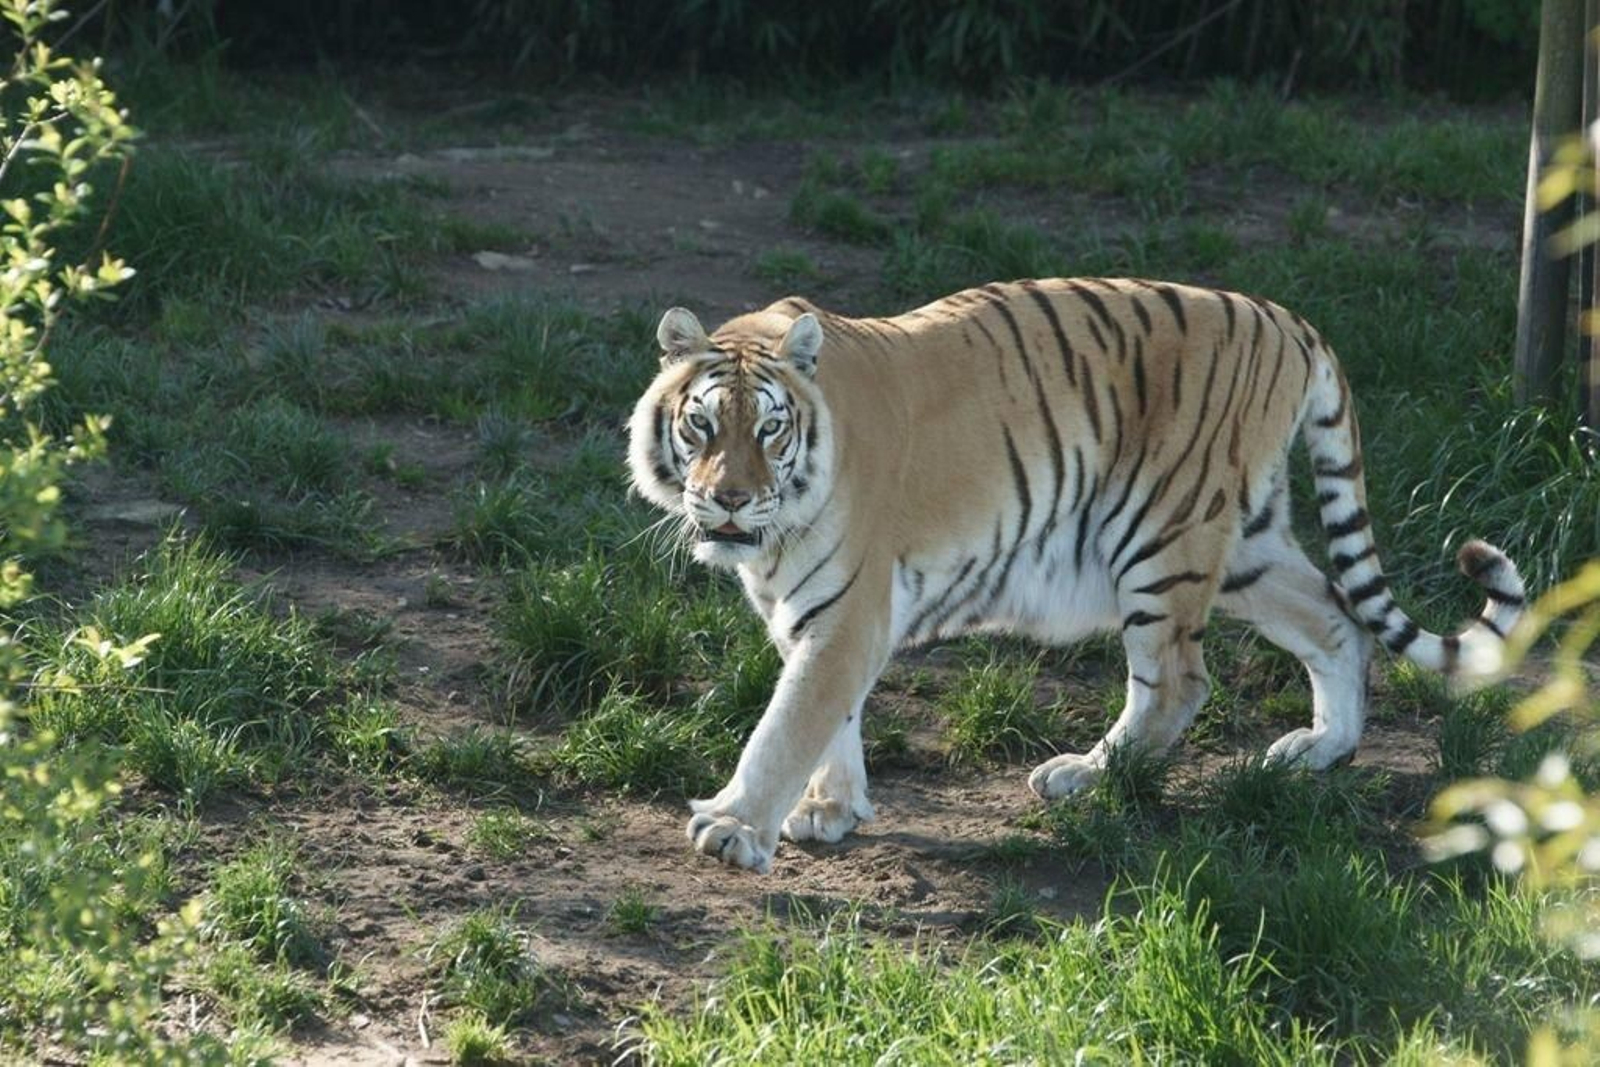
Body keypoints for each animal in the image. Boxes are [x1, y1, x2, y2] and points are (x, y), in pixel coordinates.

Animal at [625, 278, 1526, 873]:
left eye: (770, 430)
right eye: (701, 424)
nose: (729, 499)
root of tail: (1289, 319)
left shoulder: (849, 608)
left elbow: (789, 722)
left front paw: (736, 825)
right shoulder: (818, 613)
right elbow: (830, 717)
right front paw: (831, 809)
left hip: (1159, 537)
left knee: (1177, 681)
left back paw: (1088, 775)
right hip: (1245, 546)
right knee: (1337, 620)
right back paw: (1318, 750)